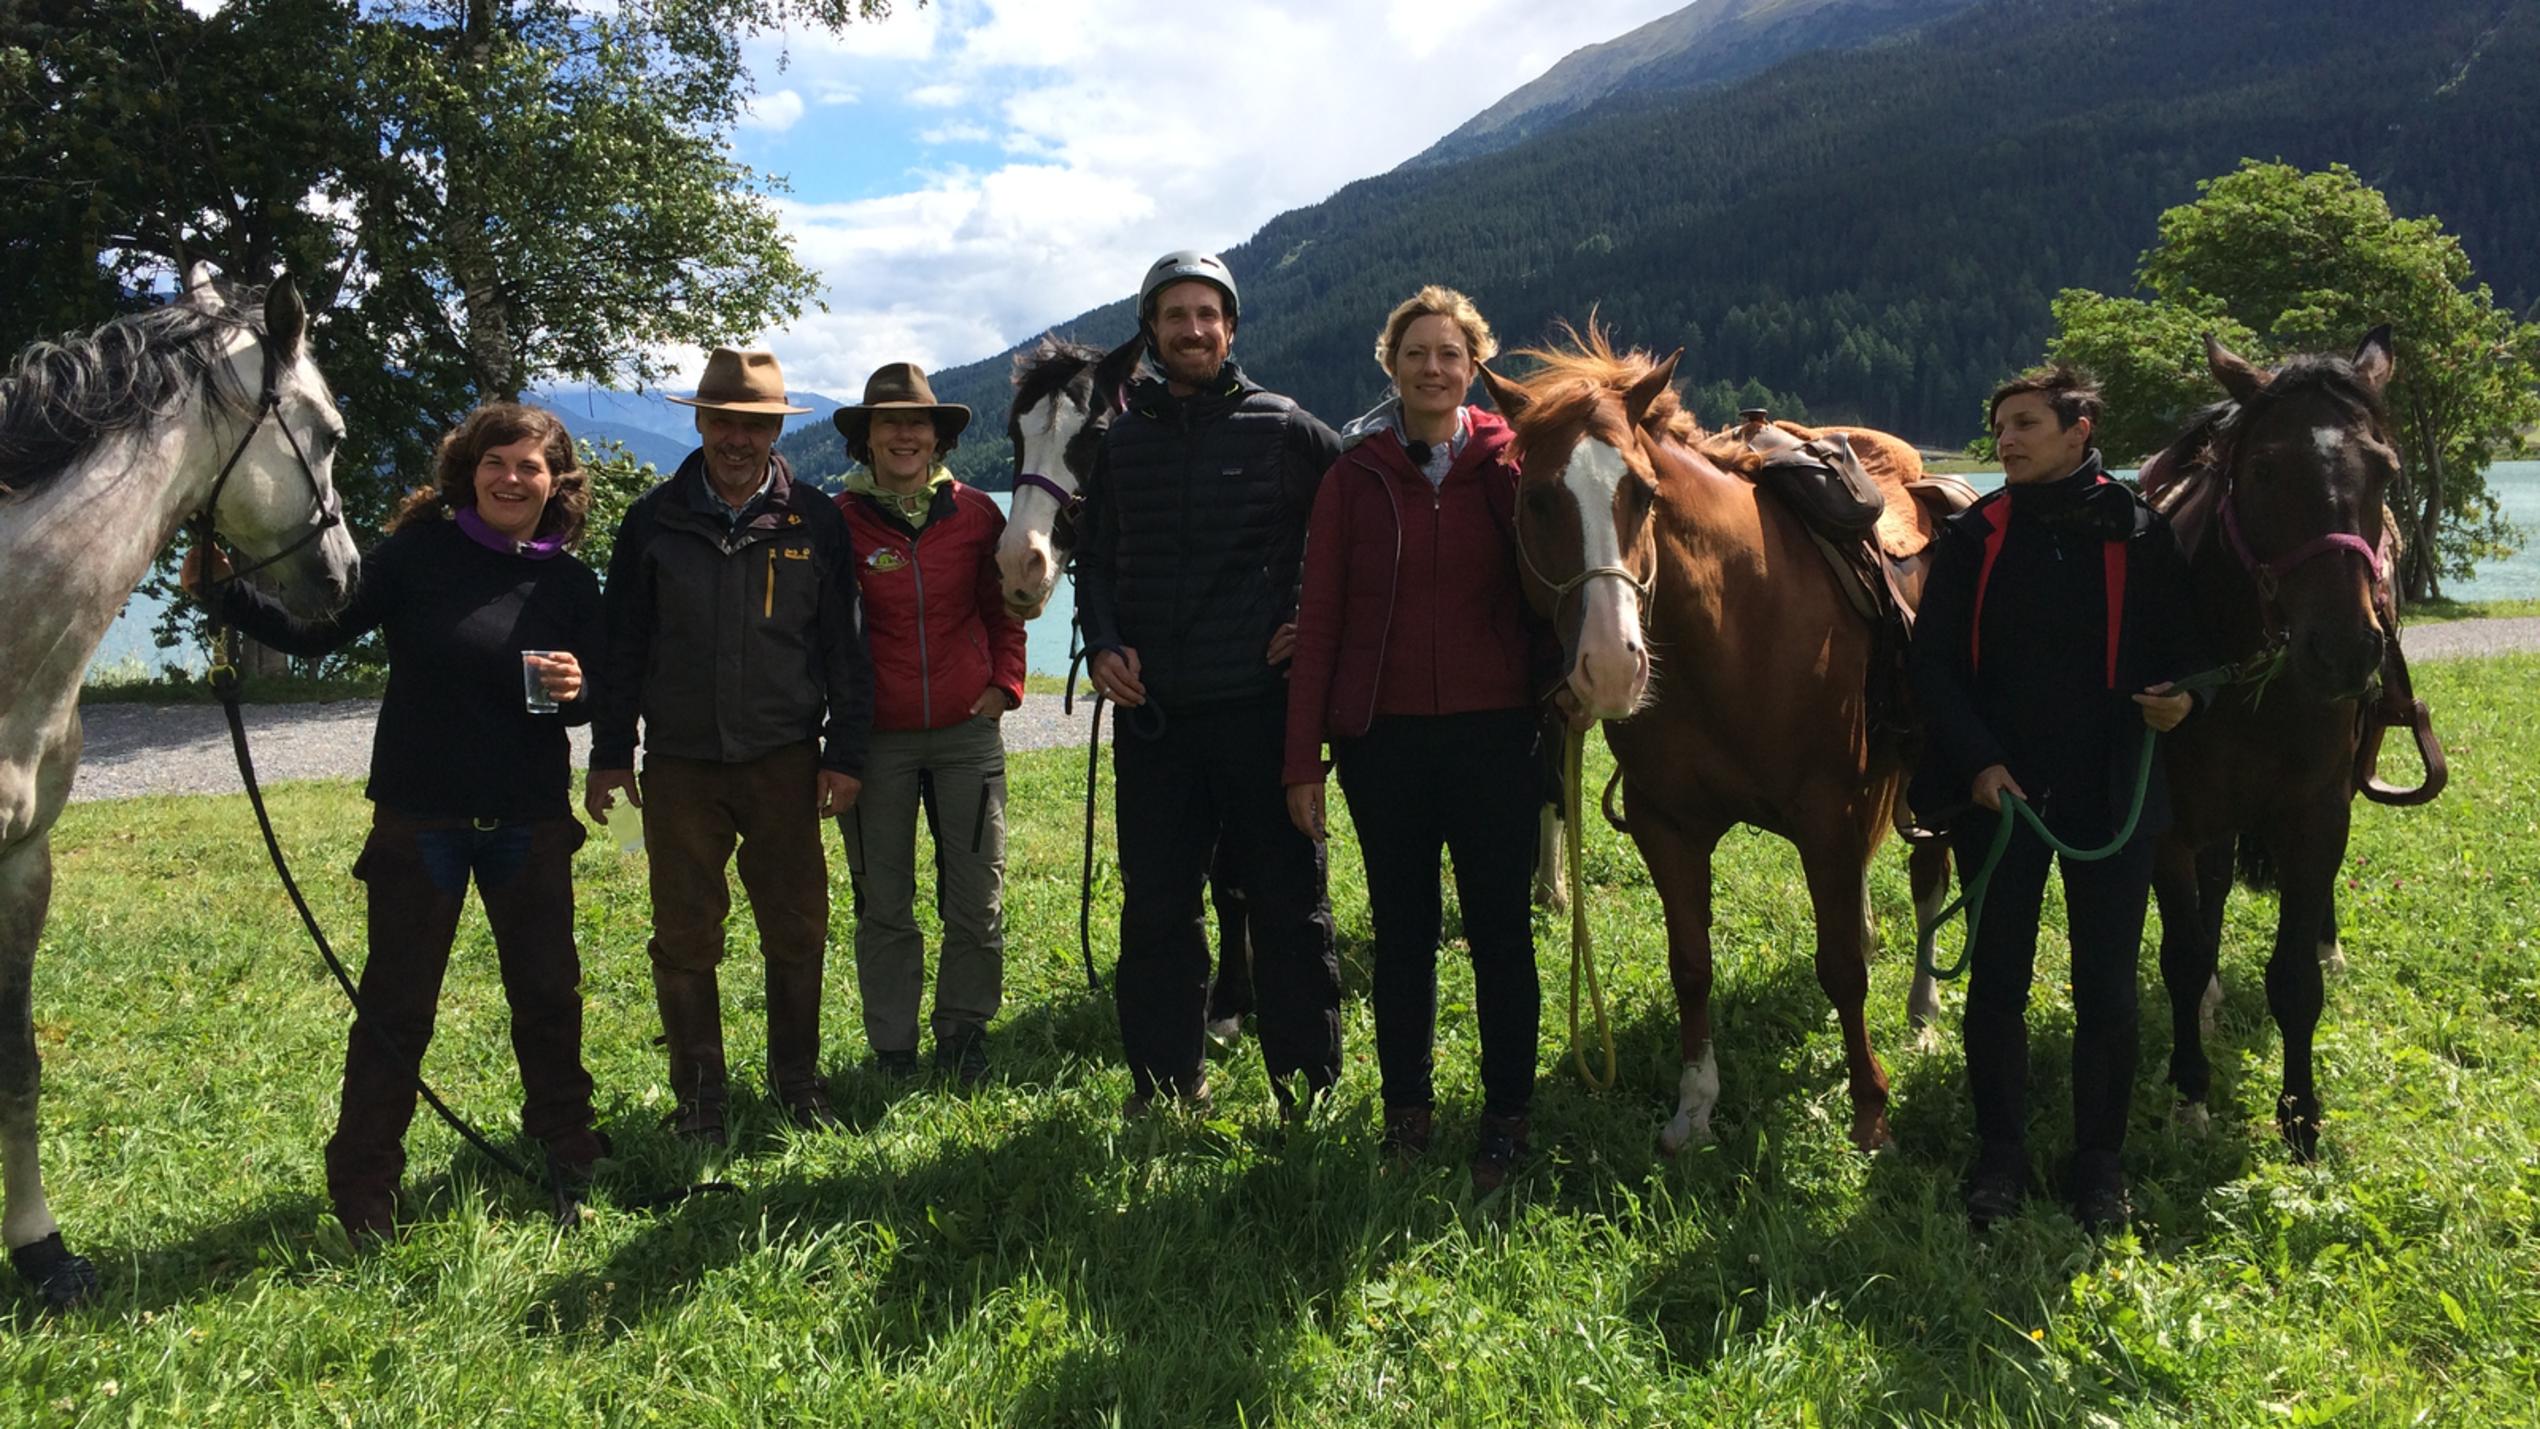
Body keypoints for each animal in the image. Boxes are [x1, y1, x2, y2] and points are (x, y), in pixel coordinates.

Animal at [1483, 332, 1950, 1152]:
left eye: (1642, 492)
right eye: (1533, 498)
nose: (1611, 664)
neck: (1732, 627)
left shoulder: (1825, 816)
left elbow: (1841, 970)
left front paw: (1870, 1109)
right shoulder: (1668, 825)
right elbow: (1690, 964)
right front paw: (1694, 1105)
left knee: (1930, 879)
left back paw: (1923, 1012)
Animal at [2143, 327, 2418, 1162]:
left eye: (2385, 470)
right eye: (2264, 468)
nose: (2345, 651)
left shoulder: (2317, 812)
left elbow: (2295, 977)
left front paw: (2302, 1118)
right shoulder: (2172, 823)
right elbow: (2183, 953)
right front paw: (2189, 1095)